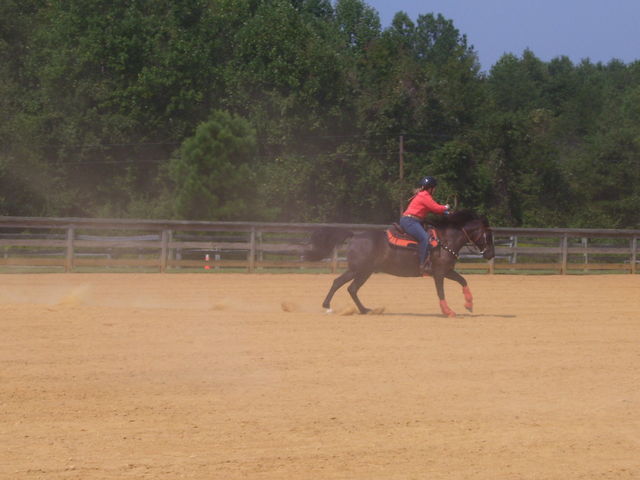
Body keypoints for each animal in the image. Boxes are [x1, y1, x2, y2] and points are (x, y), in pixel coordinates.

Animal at [304, 211, 496, 316]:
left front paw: (469, 305)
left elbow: (463, 280)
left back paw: (365, 310)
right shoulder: (439, 273)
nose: (491, 254)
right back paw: (330, 307)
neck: (444, 241)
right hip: (359, 270)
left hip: (364, 271)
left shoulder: (447, 271)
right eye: (488, 235)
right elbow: (440, 292)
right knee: (341, 284)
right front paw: (448, 312)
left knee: (349, 288)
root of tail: (355, 236)